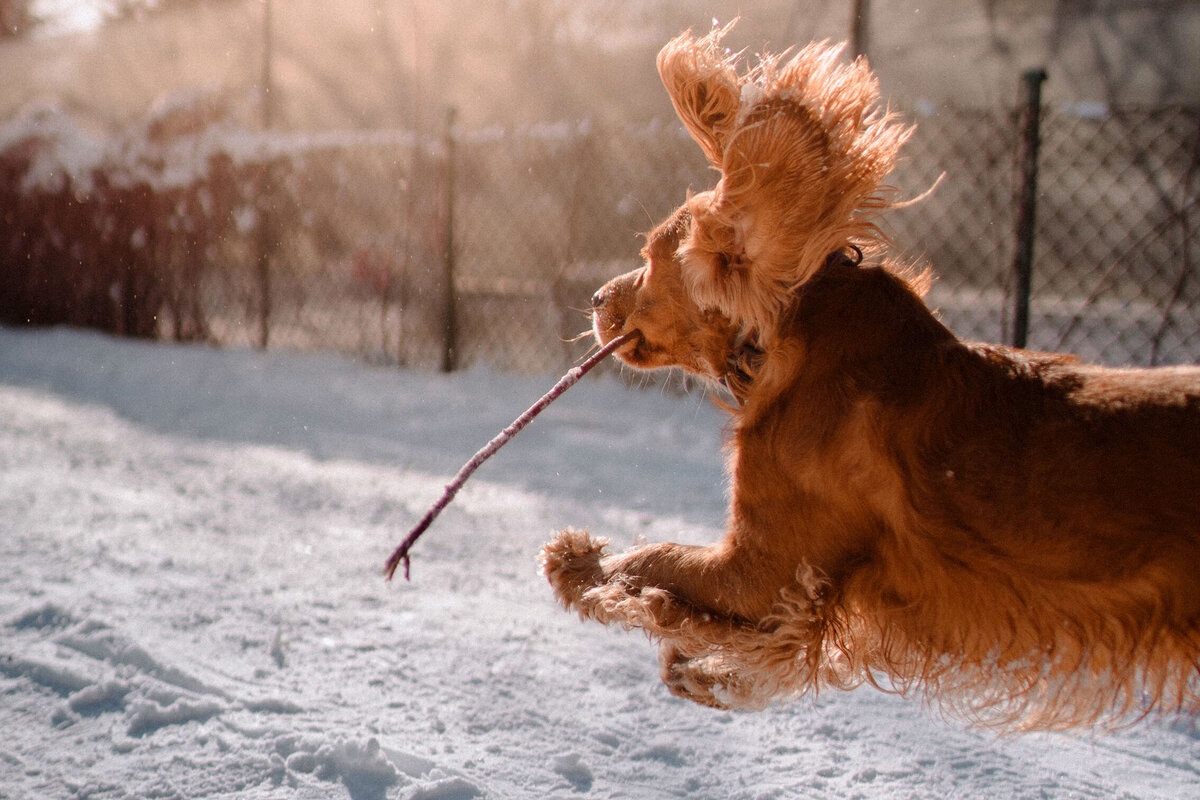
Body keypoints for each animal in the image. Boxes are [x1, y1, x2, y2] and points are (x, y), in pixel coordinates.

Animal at [542, 25, 1200, 729]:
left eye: (649, 259)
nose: (595, 299)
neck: (789, 333)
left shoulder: (761, 570)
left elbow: (652, 559)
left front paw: (578, 565)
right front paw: (700, 666)